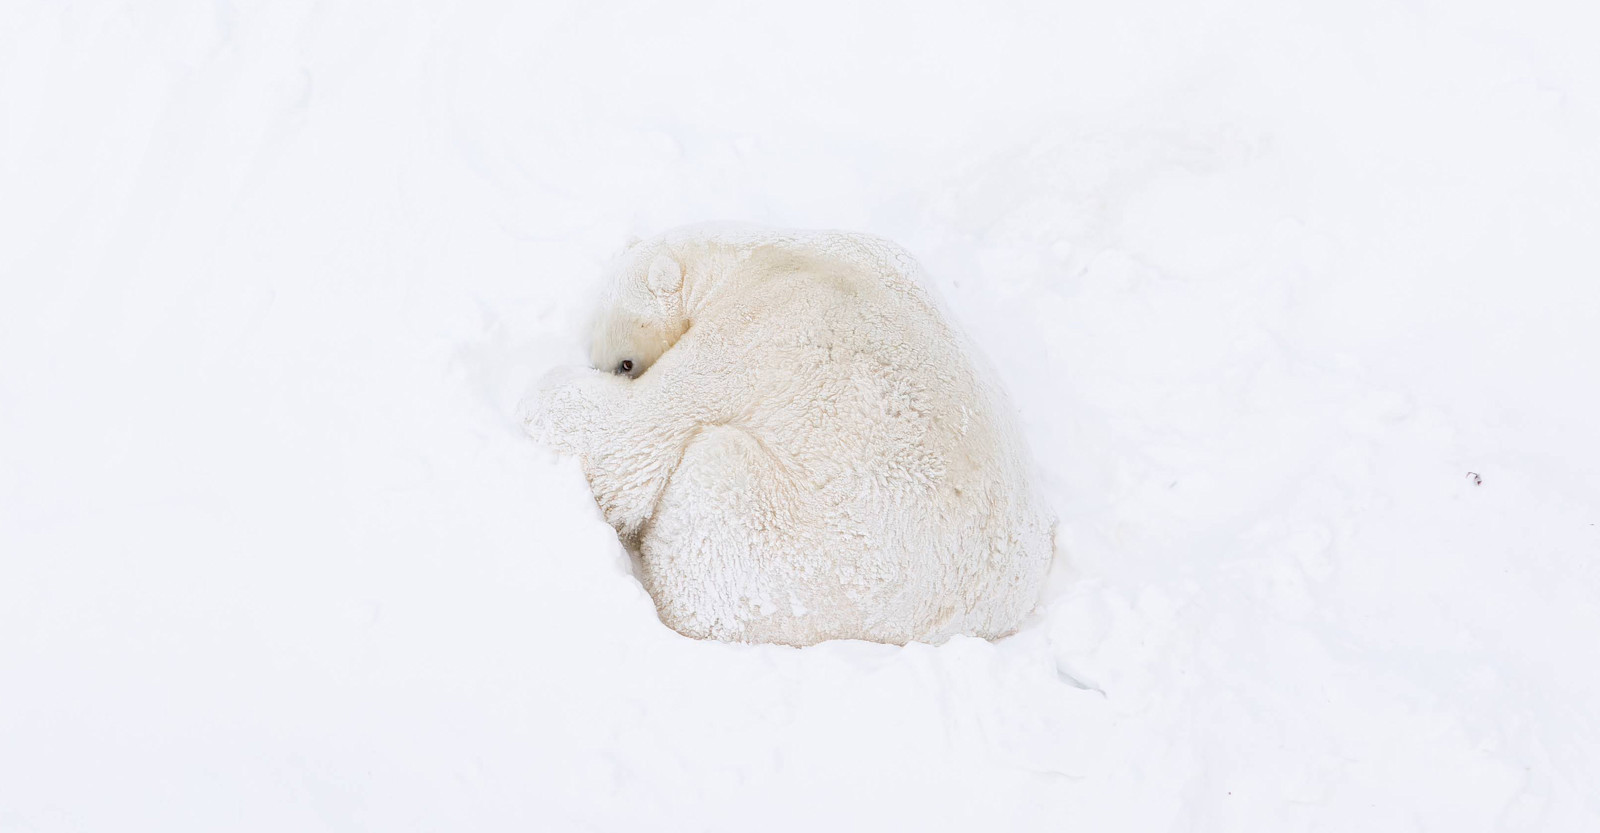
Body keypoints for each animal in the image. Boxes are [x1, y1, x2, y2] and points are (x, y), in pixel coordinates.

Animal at [528, 224, 1054, 646]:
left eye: (625, 363)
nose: (607, 367)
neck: (759, 260)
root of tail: (976, 621)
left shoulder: (746, 336)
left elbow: (630, 440)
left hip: (813, 564)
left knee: (713, 493)